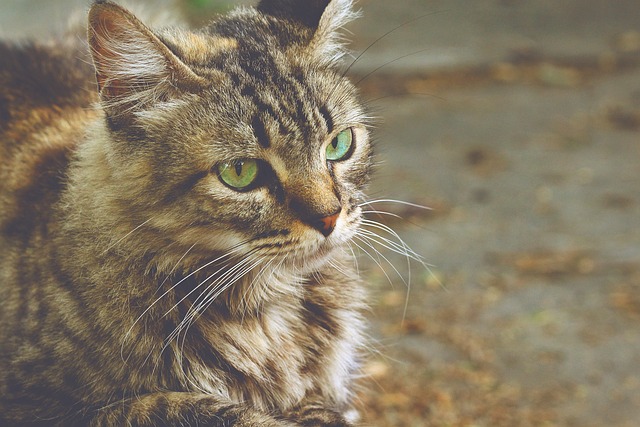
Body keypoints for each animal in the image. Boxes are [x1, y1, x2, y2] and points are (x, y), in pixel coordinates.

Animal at [0, 0, 376, 426]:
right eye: (240, 172)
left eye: (339, 145)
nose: (329, 218)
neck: (266, 309)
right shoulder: (41, 405)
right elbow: (190, 406)